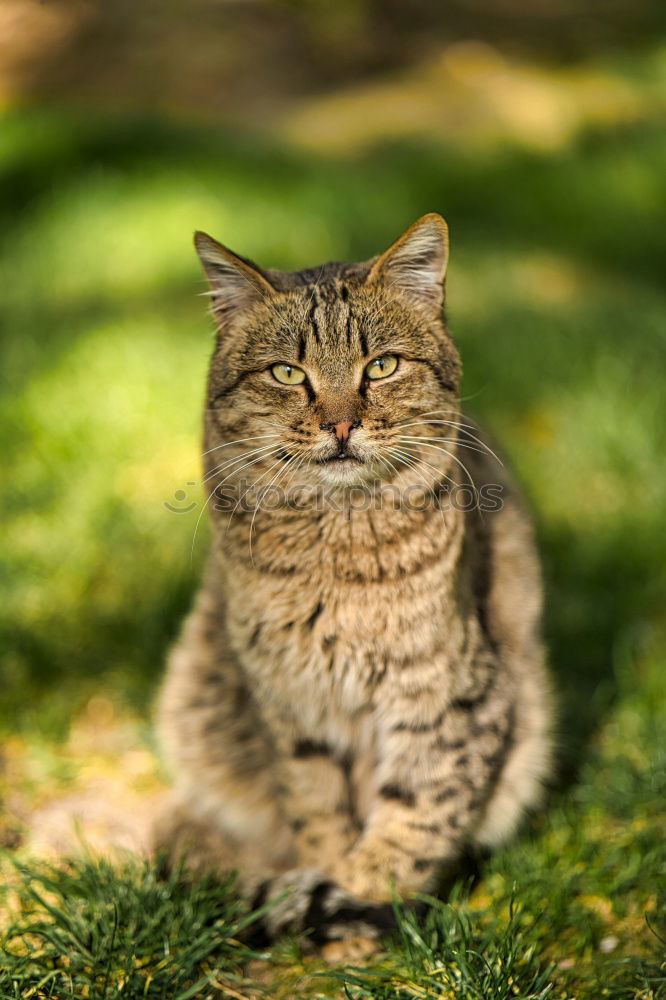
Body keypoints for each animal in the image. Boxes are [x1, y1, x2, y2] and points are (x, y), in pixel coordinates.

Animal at [153, 215, 552, 940]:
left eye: (382, 366)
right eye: (288, 373)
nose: (341, 424)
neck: (336, 548)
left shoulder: (450, 694)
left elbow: (419, 809)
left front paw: (365, 894)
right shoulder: (292, 702)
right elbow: (315, 804)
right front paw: (330, 878)